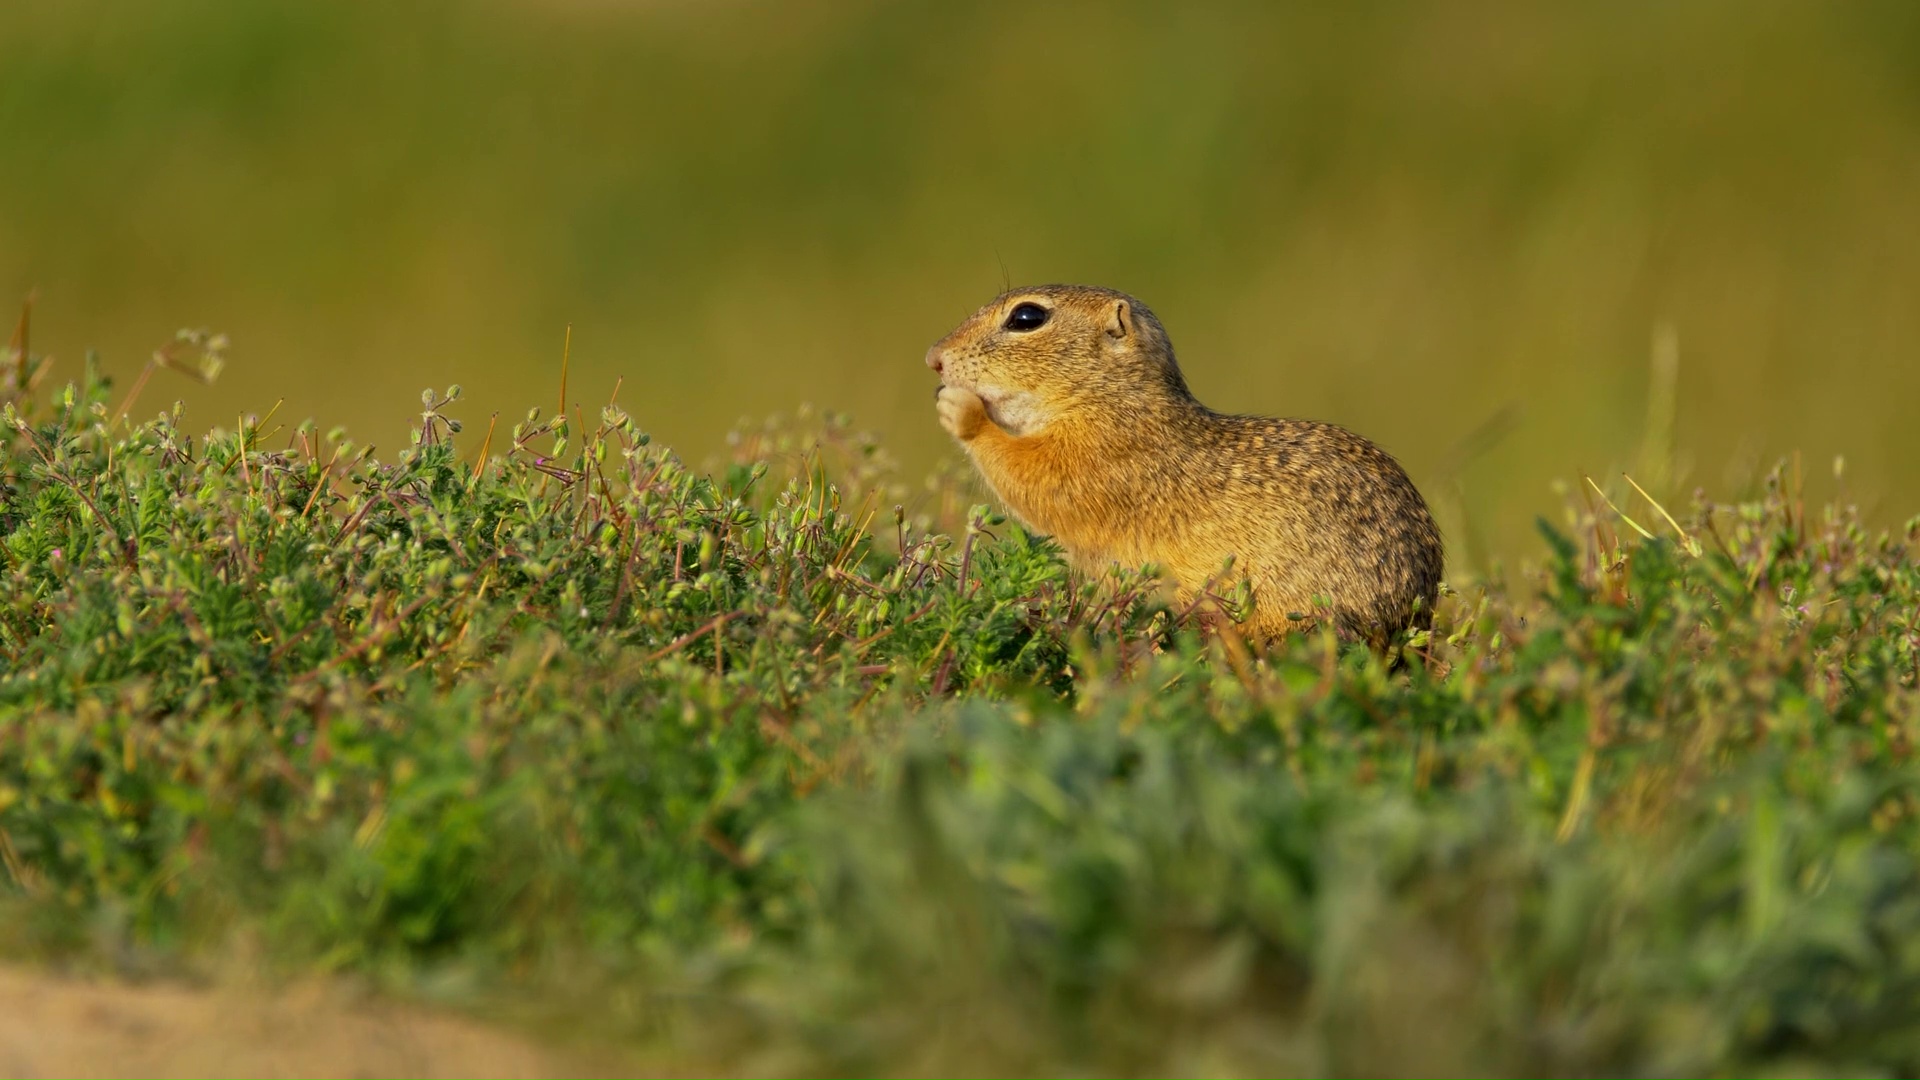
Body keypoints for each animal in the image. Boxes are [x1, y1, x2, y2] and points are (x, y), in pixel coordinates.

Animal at [926, 284, 1443, 651]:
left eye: (1027, 317)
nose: (933, 358)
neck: (1112, 400)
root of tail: (1414, 619)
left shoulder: (1101, 459)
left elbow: (1035, 480)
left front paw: (961, 410)